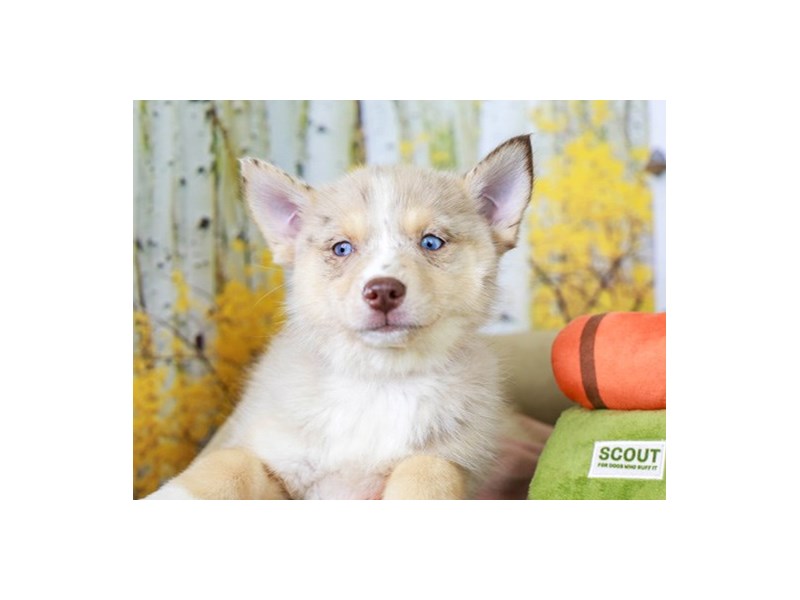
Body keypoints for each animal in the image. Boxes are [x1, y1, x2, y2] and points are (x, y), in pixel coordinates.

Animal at [147, 134, 534, 499]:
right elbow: (229, 463)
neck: (378, 381)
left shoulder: (453, 460)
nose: (383, 291)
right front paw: (170, 497)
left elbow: (427, 473)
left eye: (431, 242)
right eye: (342, 248)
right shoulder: (274, 459)